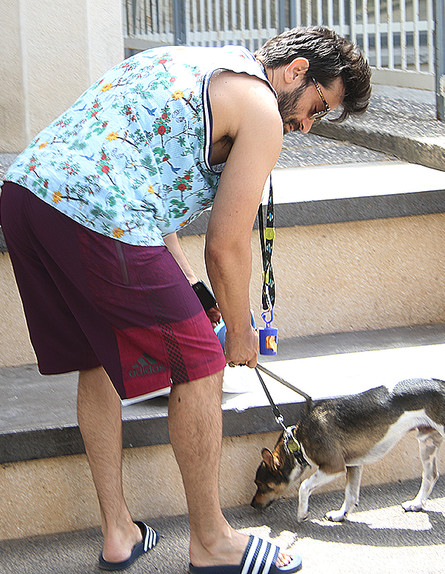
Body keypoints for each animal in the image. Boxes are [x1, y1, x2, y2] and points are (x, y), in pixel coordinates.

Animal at [252, 378, 445, 522]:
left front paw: (302, 513)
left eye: (261, 485)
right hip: (427, 444)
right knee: (430, 476)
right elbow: (350, 494)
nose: (253, 504)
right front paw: (340, 515)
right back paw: (416, 504)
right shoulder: (353, 465)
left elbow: (304, 486)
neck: (297, 441)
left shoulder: (334, 467)